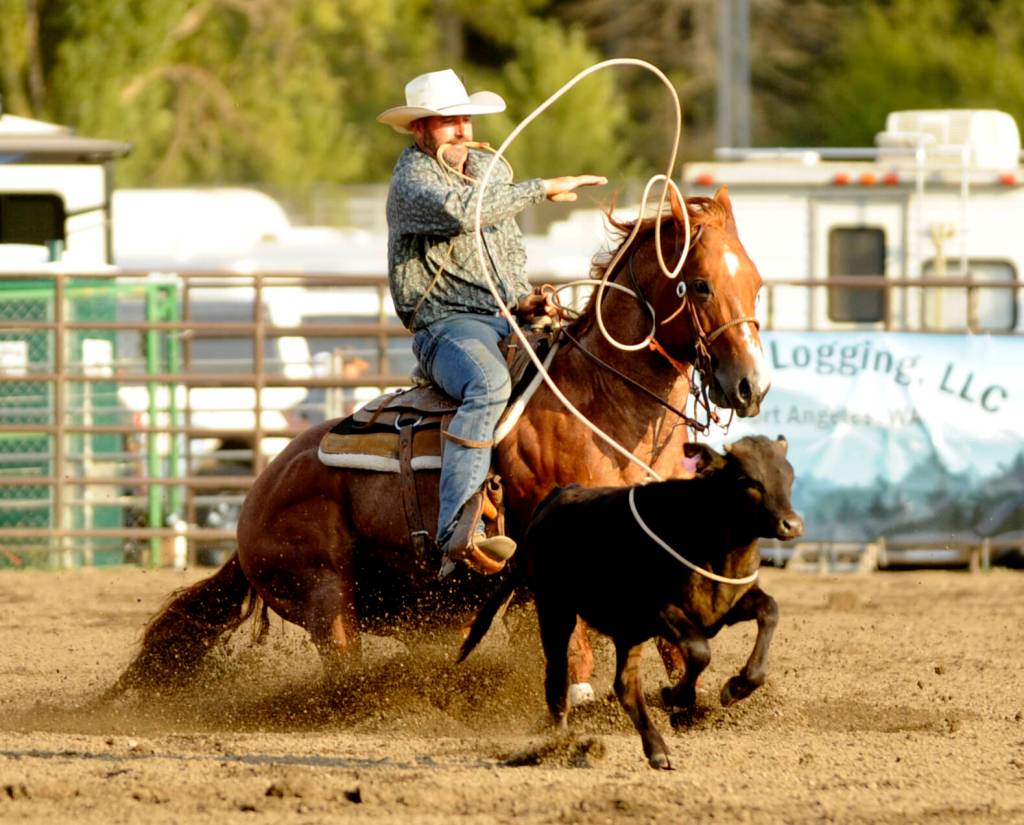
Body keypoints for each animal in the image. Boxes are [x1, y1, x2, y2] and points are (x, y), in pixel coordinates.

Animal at [458, 434, 803, 769]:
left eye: (789, 475)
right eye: (748, 479)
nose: (792, 525)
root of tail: (555, 498)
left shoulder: (726, 606)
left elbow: (769, 611)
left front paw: (735, 687)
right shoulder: (657, 612)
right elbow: (698, 651)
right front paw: (675, 695)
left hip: (626, 634)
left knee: (624, 686)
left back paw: (657, 751)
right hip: (556, 610)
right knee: (557, 680)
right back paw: (562, 745)